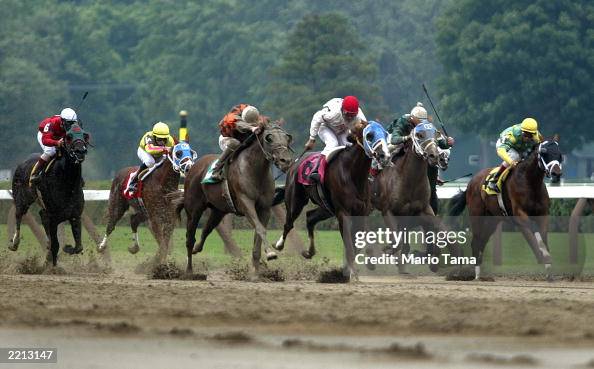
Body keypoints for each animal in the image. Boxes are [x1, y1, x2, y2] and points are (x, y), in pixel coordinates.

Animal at [9, 123, 88, 264]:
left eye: (84, 135)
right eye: (68, 136)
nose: (80, 151)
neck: (67, 184)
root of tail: (22, 163)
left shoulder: (74, 215)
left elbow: (79, 247)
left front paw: (67, 248)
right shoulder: (52, 218)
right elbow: (55, 245)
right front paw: (52, 263)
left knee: (41, 216)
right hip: (21, 199)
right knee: (18, 214)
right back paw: (15, 242)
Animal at [177, 121, 292, 274]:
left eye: (287, 138)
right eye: (269, 138)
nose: (286, 161)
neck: (255, 171)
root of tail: (193, 167)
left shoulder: (264, 209)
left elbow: (258, 237)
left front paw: (256, 272)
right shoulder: (246, 204)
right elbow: (260, 229)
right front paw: (271, 254)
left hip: (219, 210)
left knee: (207, 229)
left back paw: (197, 249)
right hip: (194, 209)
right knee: (190, 238)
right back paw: (189, 269)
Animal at [272, 121, 390, 278]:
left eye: (386, 134)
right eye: (369, 135)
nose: (385, 156)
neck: (353, 174)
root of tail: (294, 164)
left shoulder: (362, 211)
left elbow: (359, 239)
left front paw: (367, 262)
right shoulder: (343, 212)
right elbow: (349, 242)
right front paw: (351, 271)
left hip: (326, 208)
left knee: (310, 217)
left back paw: (309, 252)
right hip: (295, 202)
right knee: (288, 224)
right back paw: (278, 246)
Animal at [448, 140, 560, 278]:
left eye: (559, 153)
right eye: (544, 153)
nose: (556, 173)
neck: (530, 183)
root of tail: (470, 183)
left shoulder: (543, 214)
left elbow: (543, 237)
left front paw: (548, 267)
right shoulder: (520, 215)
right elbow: (534, 233)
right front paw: (544, 256)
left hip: (492, 220)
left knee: (483, 241)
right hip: (476, 215)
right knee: (476, 242)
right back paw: (477, 274)